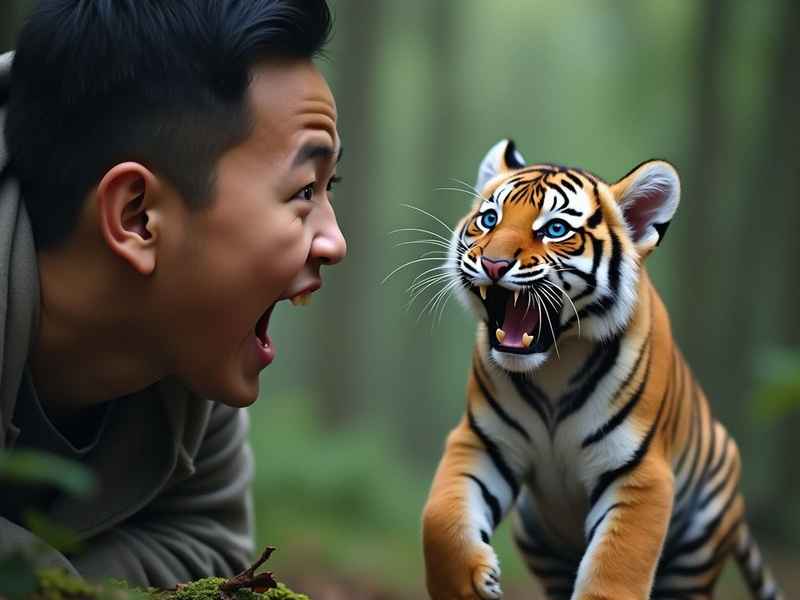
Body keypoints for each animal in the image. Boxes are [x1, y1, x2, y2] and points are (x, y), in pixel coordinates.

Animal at [421, 139, 783, 600]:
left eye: (555, 229)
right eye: (488, 220)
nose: (493, 263)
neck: (554, 366)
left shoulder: (638, 472)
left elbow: (616, 569)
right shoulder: (482, 440)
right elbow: (439, 518)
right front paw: (469, 583)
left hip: (695, 553)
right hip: (539, 539)